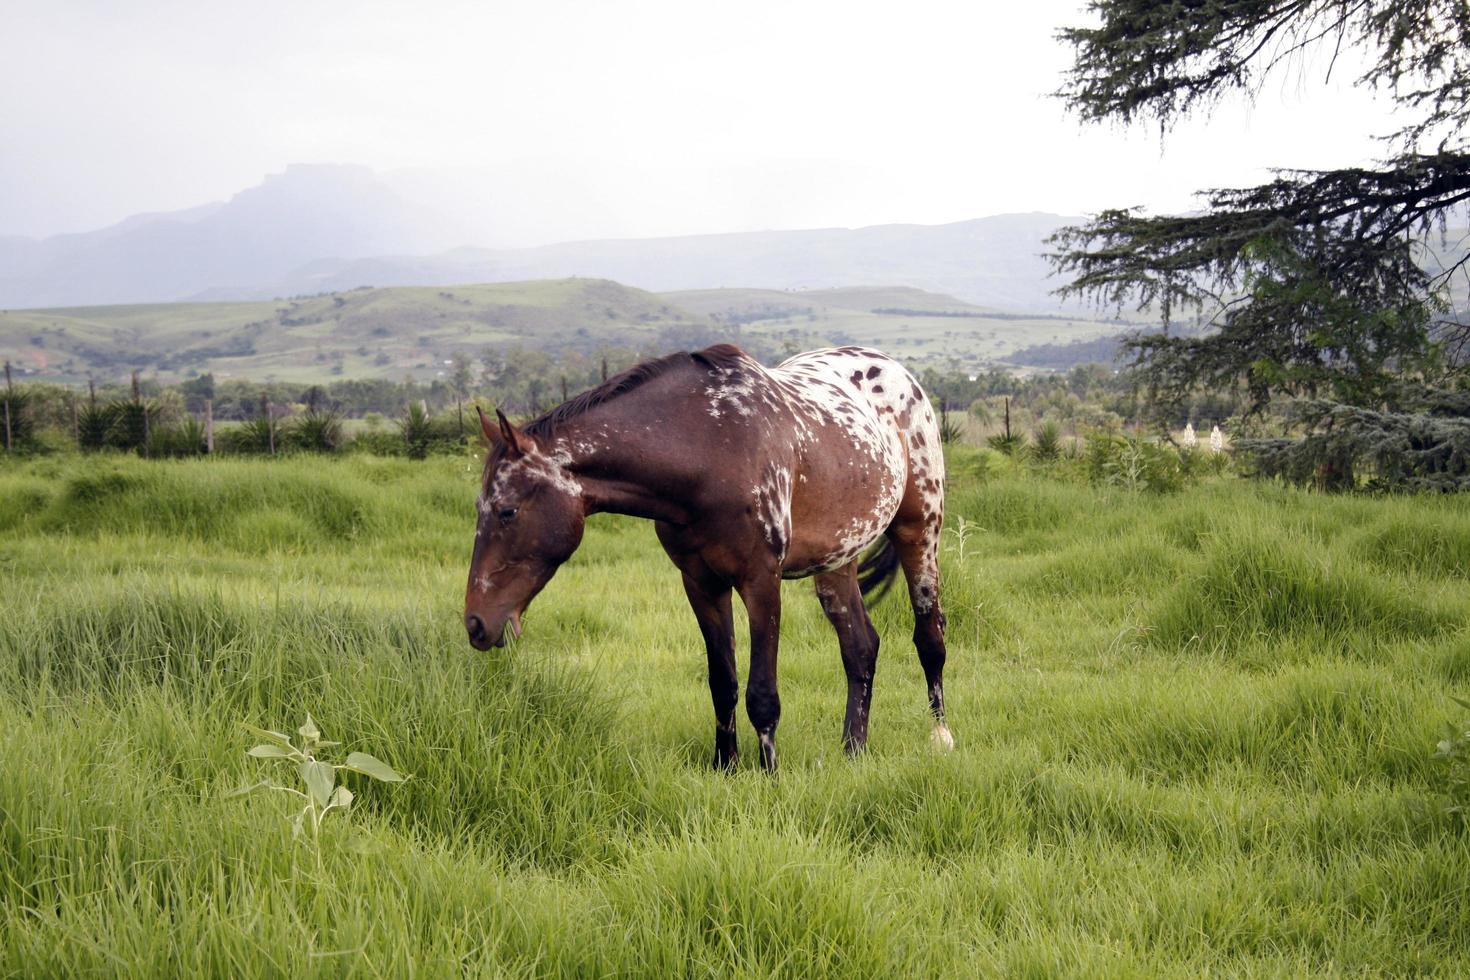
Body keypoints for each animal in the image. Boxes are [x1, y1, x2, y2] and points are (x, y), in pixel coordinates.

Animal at [461, 345, 952, 775]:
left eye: (507, 511)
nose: (476, 624)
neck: (712, 448)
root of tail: (895, 371)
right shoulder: (701, 582)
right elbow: (723, 683)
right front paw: (727, 767)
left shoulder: (761, 580)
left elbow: (761, 694)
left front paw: (770, 777)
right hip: (837, 561)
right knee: (860, 649)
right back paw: (853, 751)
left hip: (919, 532)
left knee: (929, 638)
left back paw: (940, 737)